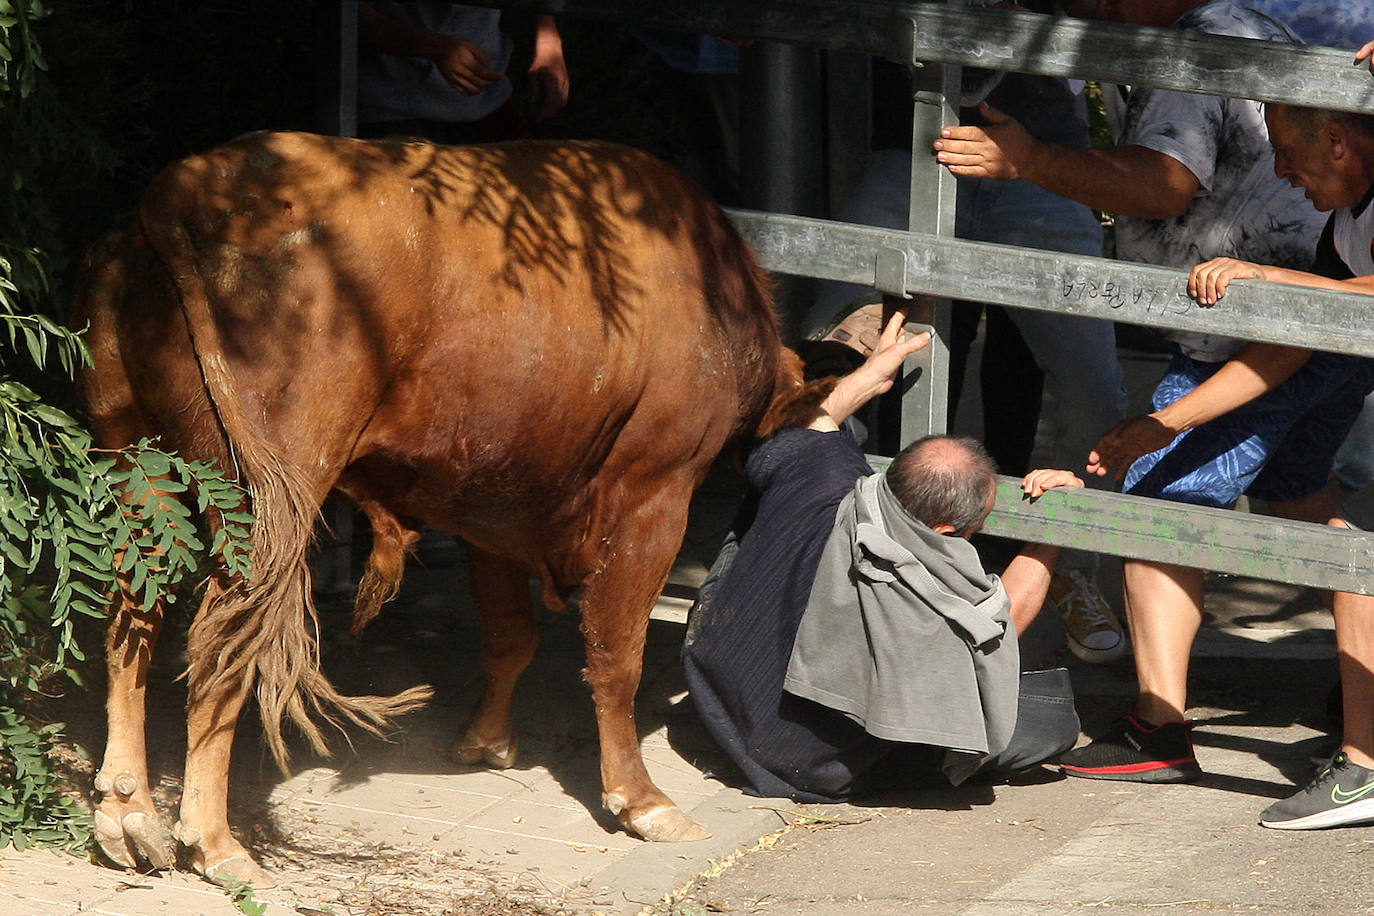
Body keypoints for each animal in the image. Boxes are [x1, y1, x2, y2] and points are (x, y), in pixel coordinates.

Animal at [77, 130, 802, 889]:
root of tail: (186, 184)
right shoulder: (654, 492)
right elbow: (616, 655)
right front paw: (641, 800)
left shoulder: (491, 501)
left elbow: (510, 633)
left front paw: (485, 740)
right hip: (272, 496)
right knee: (221, 636)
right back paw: (214, 842)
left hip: (130, 453)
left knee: (133, 611)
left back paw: (127, 814)